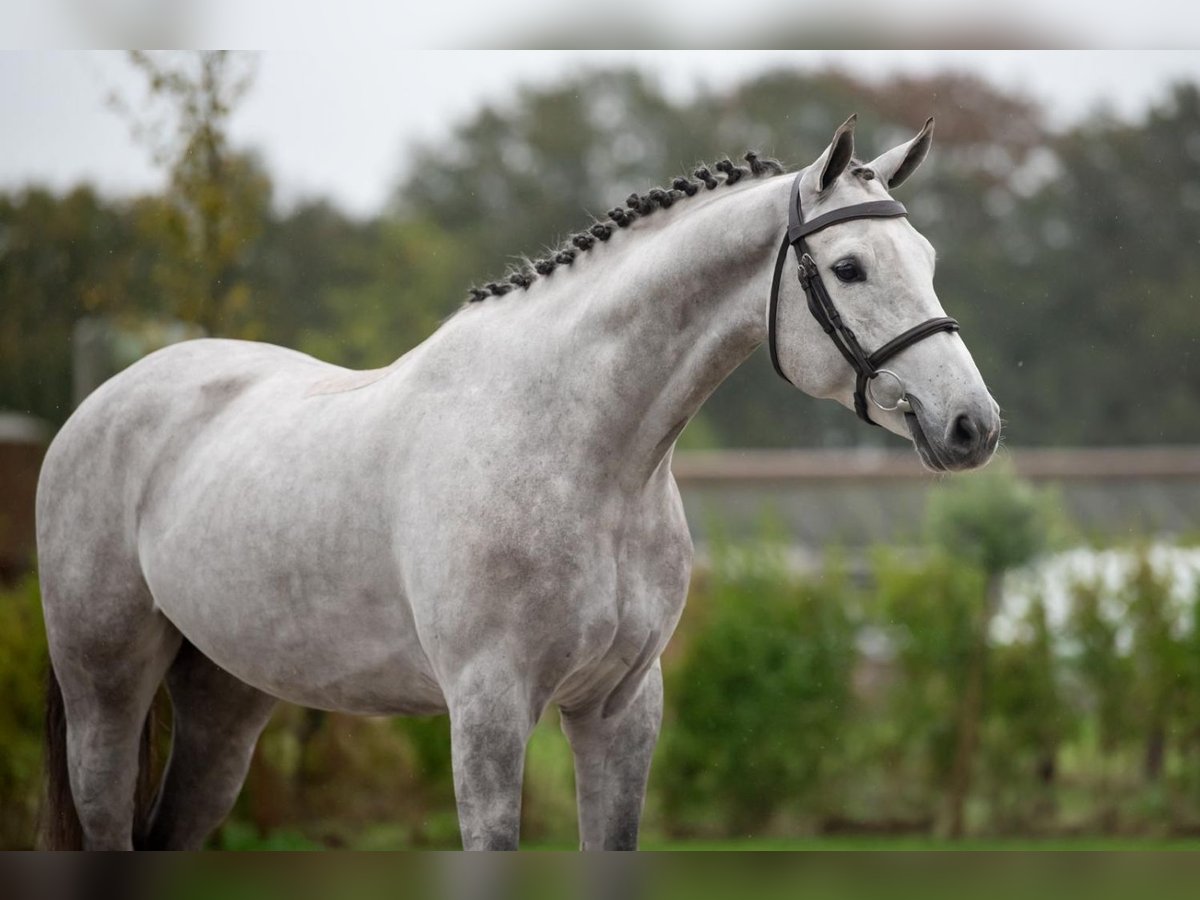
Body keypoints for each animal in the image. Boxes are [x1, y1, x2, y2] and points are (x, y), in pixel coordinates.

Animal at [37, 114, 998, 854]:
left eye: (926, 256)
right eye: (849, 268)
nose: (972, 425)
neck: (583, 456)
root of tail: (99, 406)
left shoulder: (620, 710)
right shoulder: (489, 713)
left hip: (228, 699)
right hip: (105, 689)